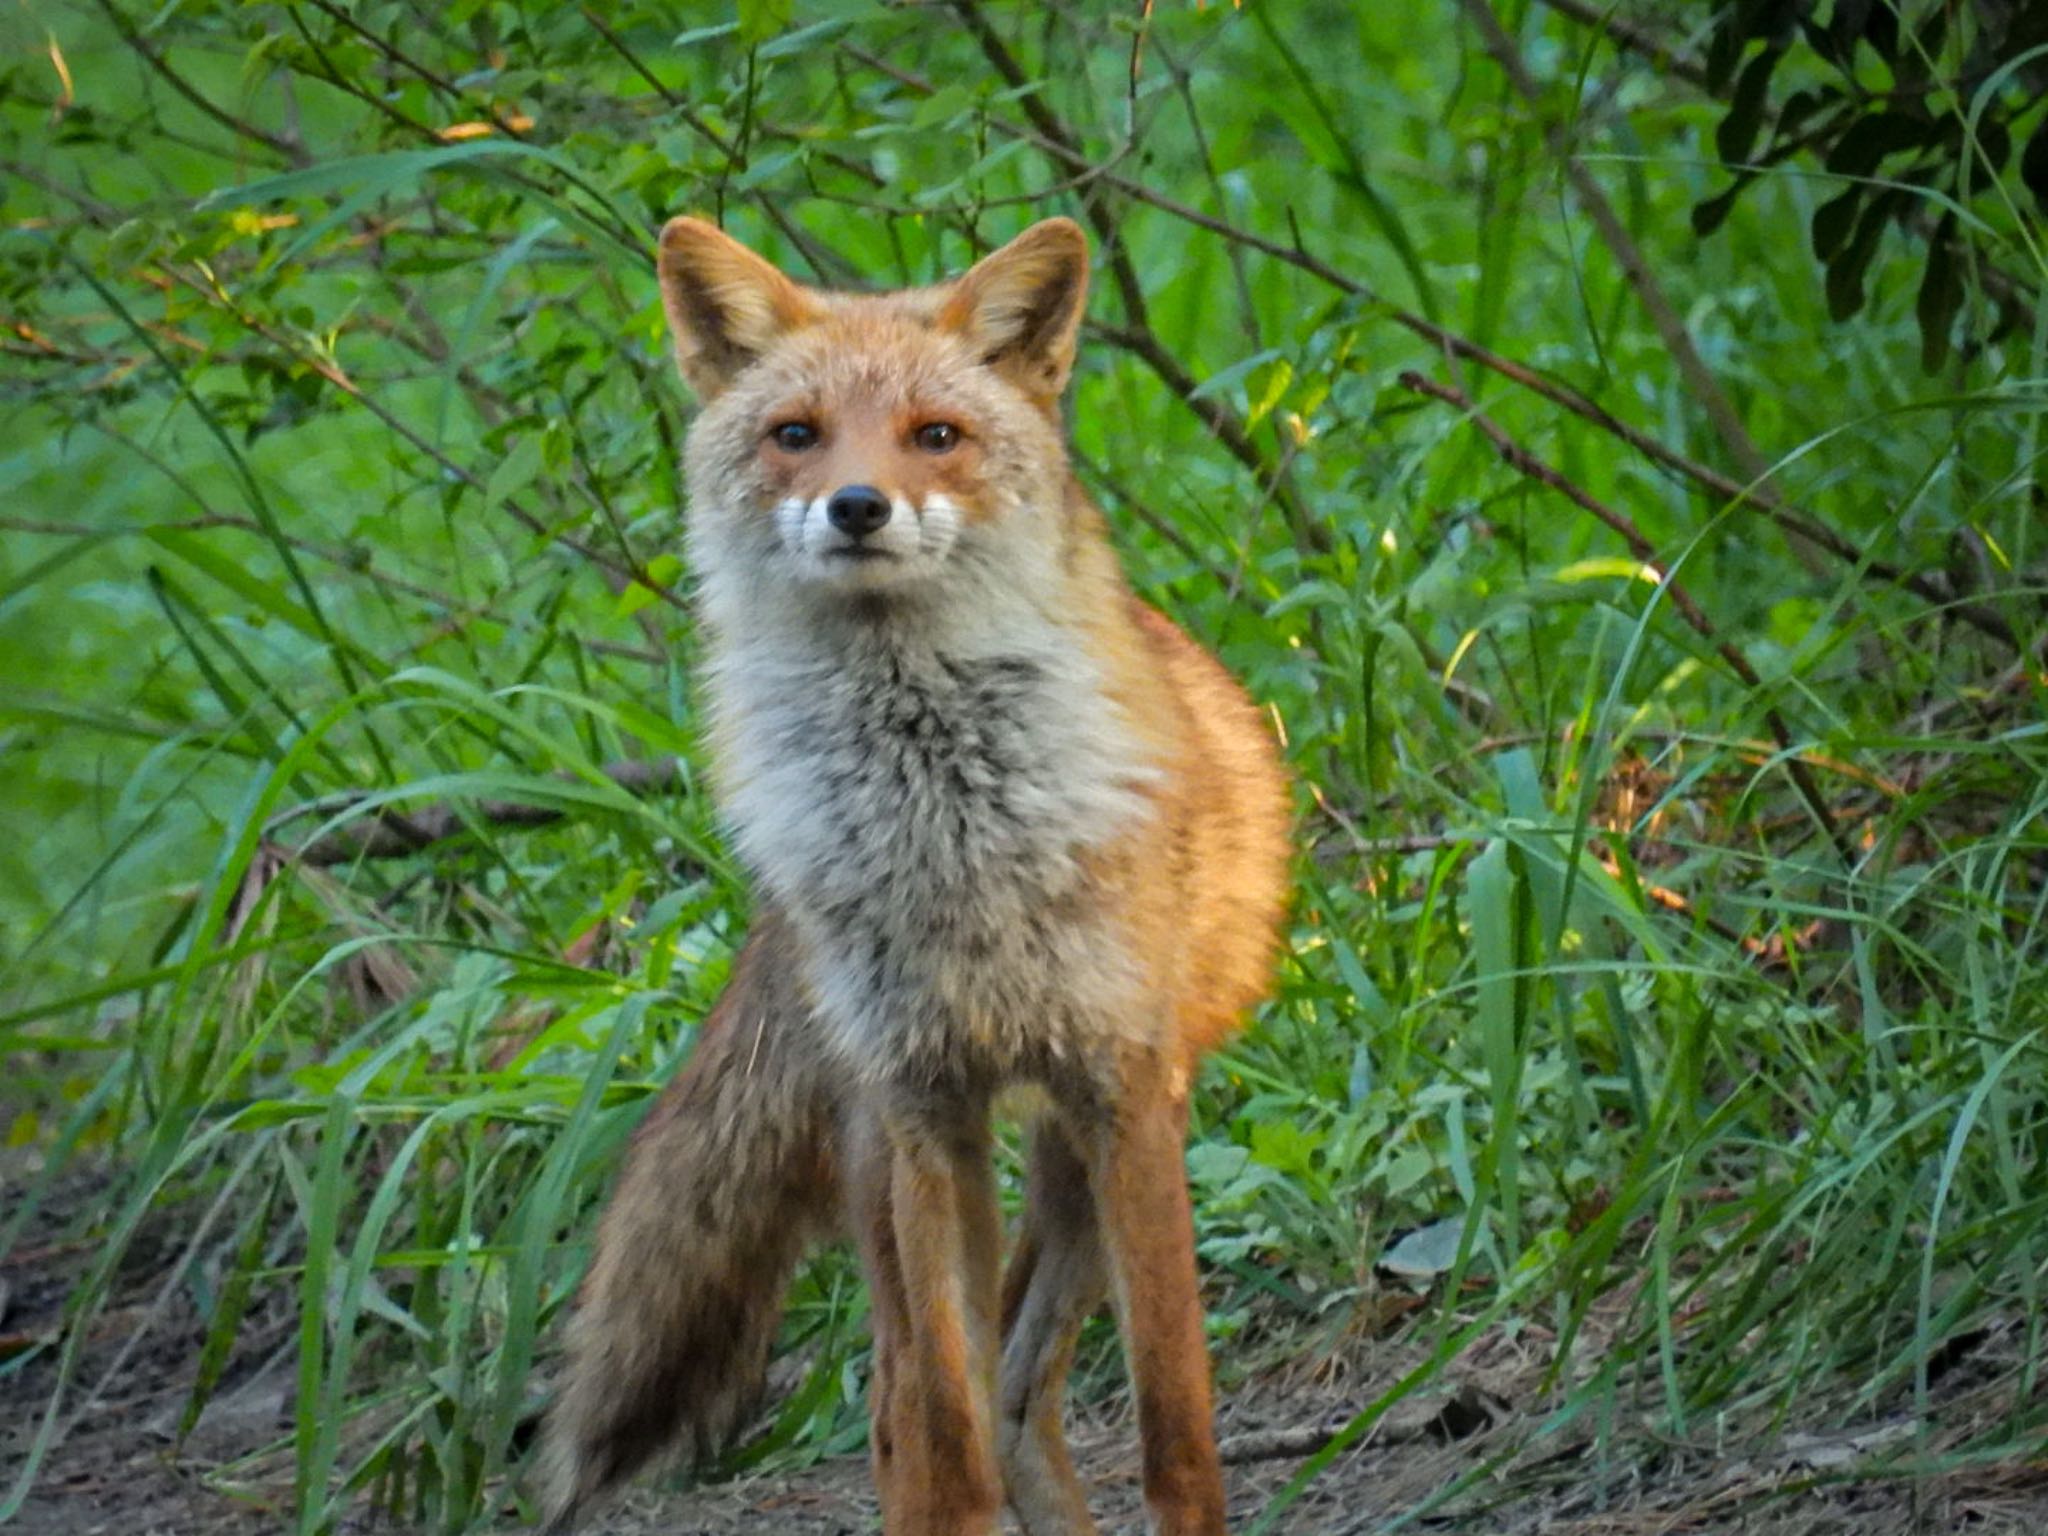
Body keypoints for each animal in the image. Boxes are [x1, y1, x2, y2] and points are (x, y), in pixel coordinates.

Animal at [536, 217, 1286, 1536]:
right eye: (796, 435)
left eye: (935, 434)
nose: (856, 505)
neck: (943, 828)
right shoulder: (924, 1109)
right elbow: (942, 1432)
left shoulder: (1124, 1091)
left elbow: (1174, 1434)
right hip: (899, 1166)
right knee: (921, 1405)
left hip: (1080, 1159)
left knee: (1022, 1387)